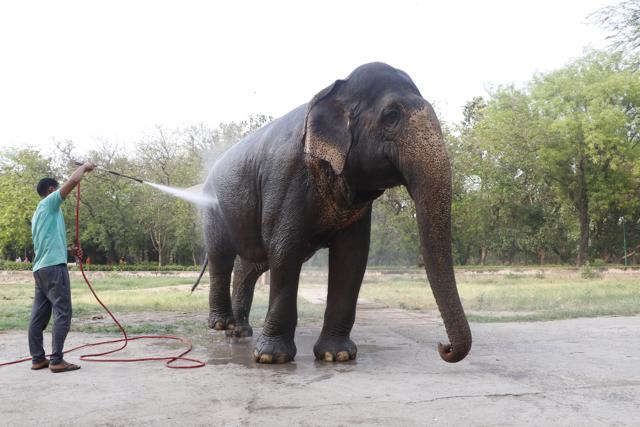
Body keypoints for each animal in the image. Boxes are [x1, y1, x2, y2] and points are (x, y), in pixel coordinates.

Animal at [200, 62, 472, 364]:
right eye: (391, 116)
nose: (443, 346)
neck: (333, 91)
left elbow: (351, 256)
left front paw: (337, 355)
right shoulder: (286, 178)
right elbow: (285, 250)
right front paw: (272, 358)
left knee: (250, 265)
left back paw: (238, 332)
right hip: (212, 207)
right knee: (221, 255)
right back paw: (221, 324)